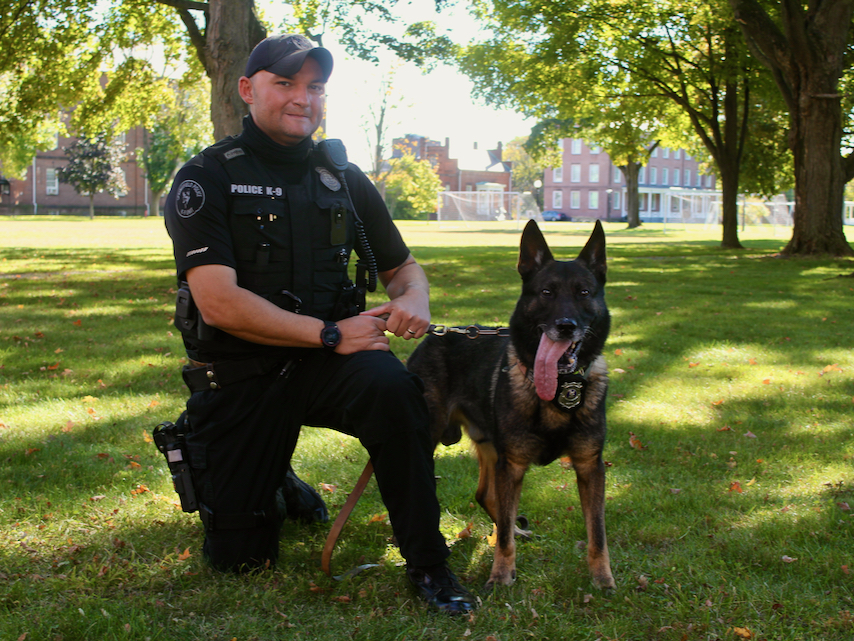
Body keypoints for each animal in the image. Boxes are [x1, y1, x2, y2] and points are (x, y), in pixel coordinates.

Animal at [408, 220, 616, 592]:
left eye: (584, 293)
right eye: (546, 293)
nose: (566, 326)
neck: (557, 391)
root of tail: (440, 333)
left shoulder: (589, 467)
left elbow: (598, 532)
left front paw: (602, 578)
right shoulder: (513, 465)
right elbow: (503, 535)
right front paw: (501, 575)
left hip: (492, 451)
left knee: (485, 496)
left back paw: (518, 529)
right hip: (432, 441)